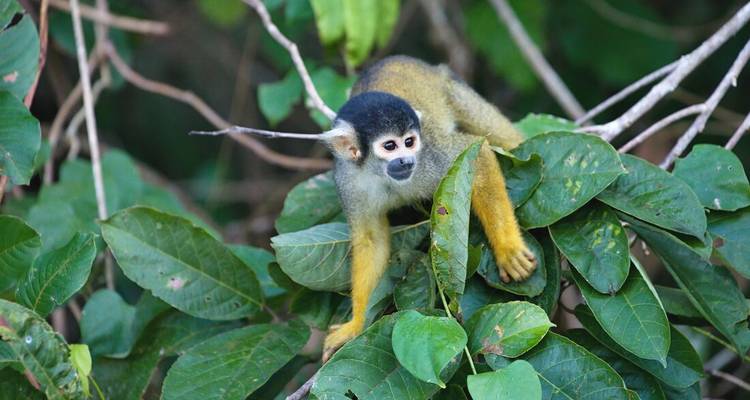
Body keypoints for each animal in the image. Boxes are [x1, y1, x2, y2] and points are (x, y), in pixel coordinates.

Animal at [192, 55, 537, 360]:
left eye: (410, 142)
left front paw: (508, 250)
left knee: (498, 136)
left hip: (452, 88)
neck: (380, 173)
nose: (405, 161)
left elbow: (476, 155)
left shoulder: (430, 155)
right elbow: (371, 240)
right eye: (390, 146)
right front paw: (356, 324)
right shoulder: (348, 181)